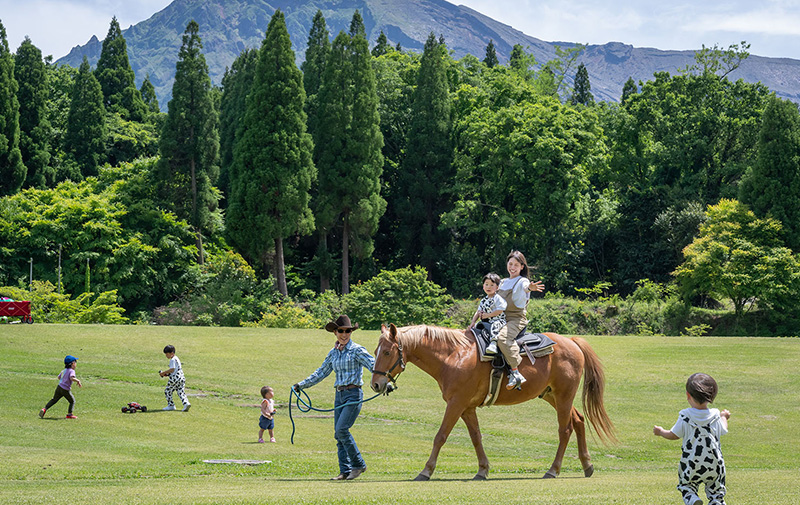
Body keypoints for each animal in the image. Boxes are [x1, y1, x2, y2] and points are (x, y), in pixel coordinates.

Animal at [372, 322, 616, 480]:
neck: (454, 355)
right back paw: (587, 465)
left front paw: (426, 471)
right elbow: (476, 438)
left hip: (563, 396)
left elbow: (440, 436)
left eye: (386, 352)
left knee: (565, 430)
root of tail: (572, 341)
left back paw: (553, 470)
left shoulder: (456, 403)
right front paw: (482, 470)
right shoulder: (467, 407)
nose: (375, 384)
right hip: (552, 395)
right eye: (376, 350)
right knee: (579, 420)